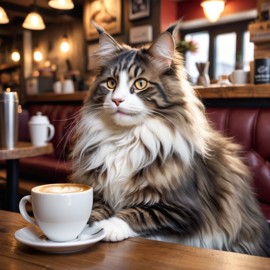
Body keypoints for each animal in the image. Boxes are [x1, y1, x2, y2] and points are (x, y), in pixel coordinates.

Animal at [69, 22, 270, 256]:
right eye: (110, 83)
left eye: (140, 84)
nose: (117, 100)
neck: (126, 138)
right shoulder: (98, 189)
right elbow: (93, 208)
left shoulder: (184, 208)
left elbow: (139, 212)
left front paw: (106, 227)